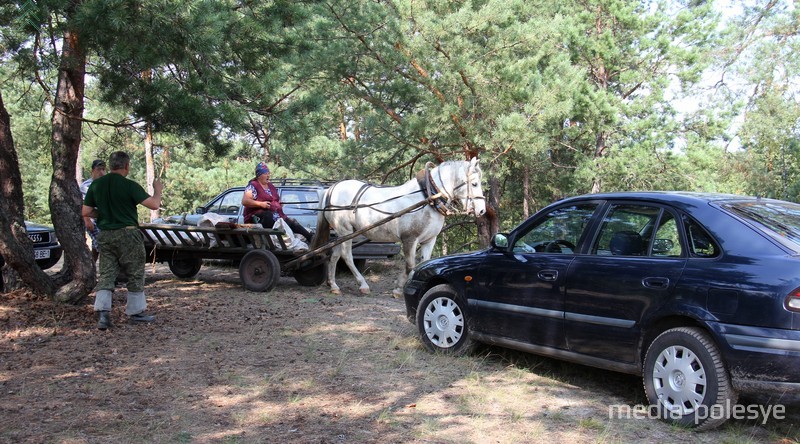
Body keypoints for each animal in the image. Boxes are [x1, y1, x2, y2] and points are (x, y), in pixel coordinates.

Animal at [310, 158, 488, 296]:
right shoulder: (409, 238)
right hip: (345, 230)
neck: (428, 197)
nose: (481, 210)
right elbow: (410, 265)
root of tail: (332, 188)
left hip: (343, 233)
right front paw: (398, 289)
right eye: (474, 183)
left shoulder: (429, 239)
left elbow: (424, 263)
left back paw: (333, 285)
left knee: (334, 255)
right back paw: (363, 285)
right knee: (346, 255)